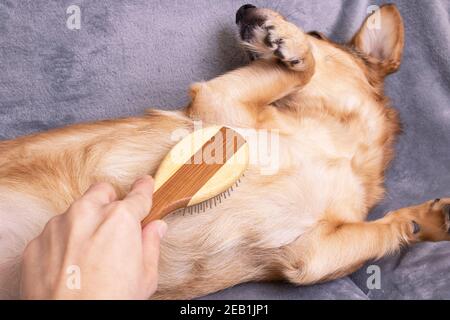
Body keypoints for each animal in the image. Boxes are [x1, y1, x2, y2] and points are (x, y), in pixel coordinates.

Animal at [0, 4, 450, 300]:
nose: (243, 8)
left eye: (320, 34)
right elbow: (305, 69)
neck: (336, 145)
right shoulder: (220, 104)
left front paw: (427, 219)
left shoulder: (313, 254)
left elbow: (384, 229)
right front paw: (288, 42)